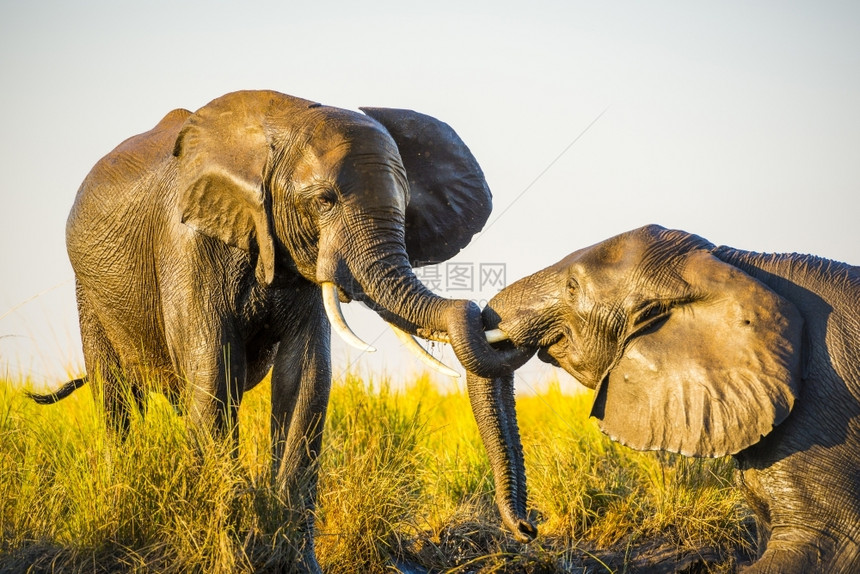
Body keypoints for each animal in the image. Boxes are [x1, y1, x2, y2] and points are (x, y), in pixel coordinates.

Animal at [25, 90, 516, 574]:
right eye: (324, 201)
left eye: (406, 207)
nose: (525, 527)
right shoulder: (187, 245)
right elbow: (212, 374)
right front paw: (227, 557)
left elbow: (304, 380)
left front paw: (294, 563)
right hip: (88, 291)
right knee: (116, 399)